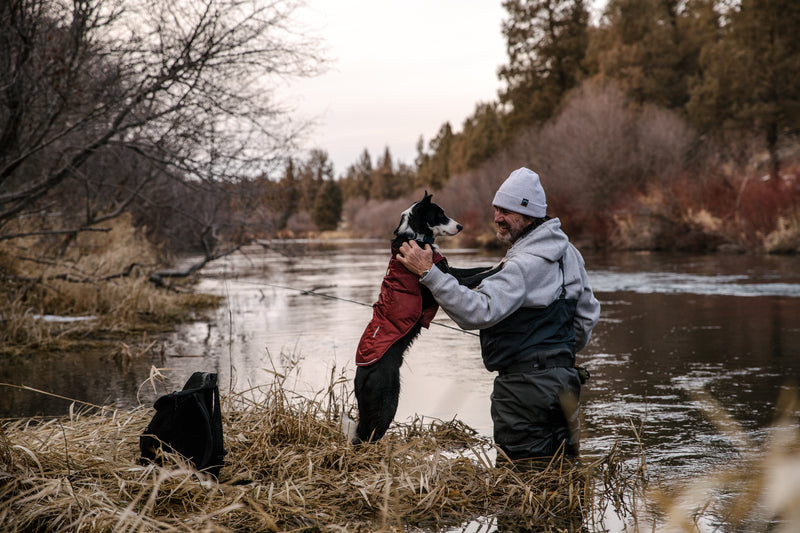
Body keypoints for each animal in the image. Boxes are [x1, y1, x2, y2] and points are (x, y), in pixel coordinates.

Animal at [350, 190, 500, 440]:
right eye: (440, 214)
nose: (460, 226)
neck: (415, 236)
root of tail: (360, 375)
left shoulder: (451, 271)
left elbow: (477, 268)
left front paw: (496, 261)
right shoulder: (448, 278)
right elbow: (478, 275)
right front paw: (500, 266)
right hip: (386, 401)